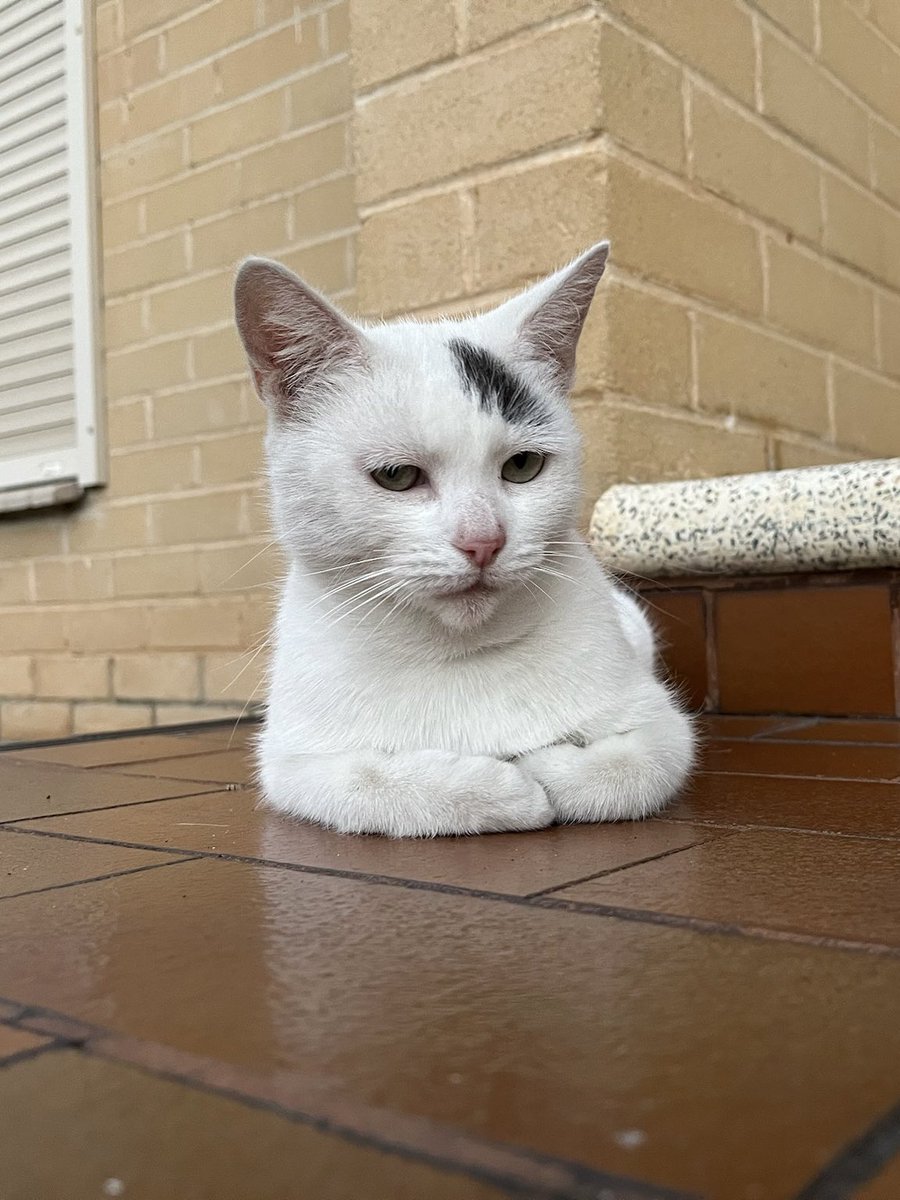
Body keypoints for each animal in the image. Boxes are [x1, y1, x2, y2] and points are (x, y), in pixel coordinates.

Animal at [234, 243, 696, 840]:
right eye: (397, 476)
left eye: (522, 466)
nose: (484, 541)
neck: (457, 652)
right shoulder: (291, 762)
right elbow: (369, 781)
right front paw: (505, 789)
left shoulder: (661, 725)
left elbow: (631, 769)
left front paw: (545, 765)